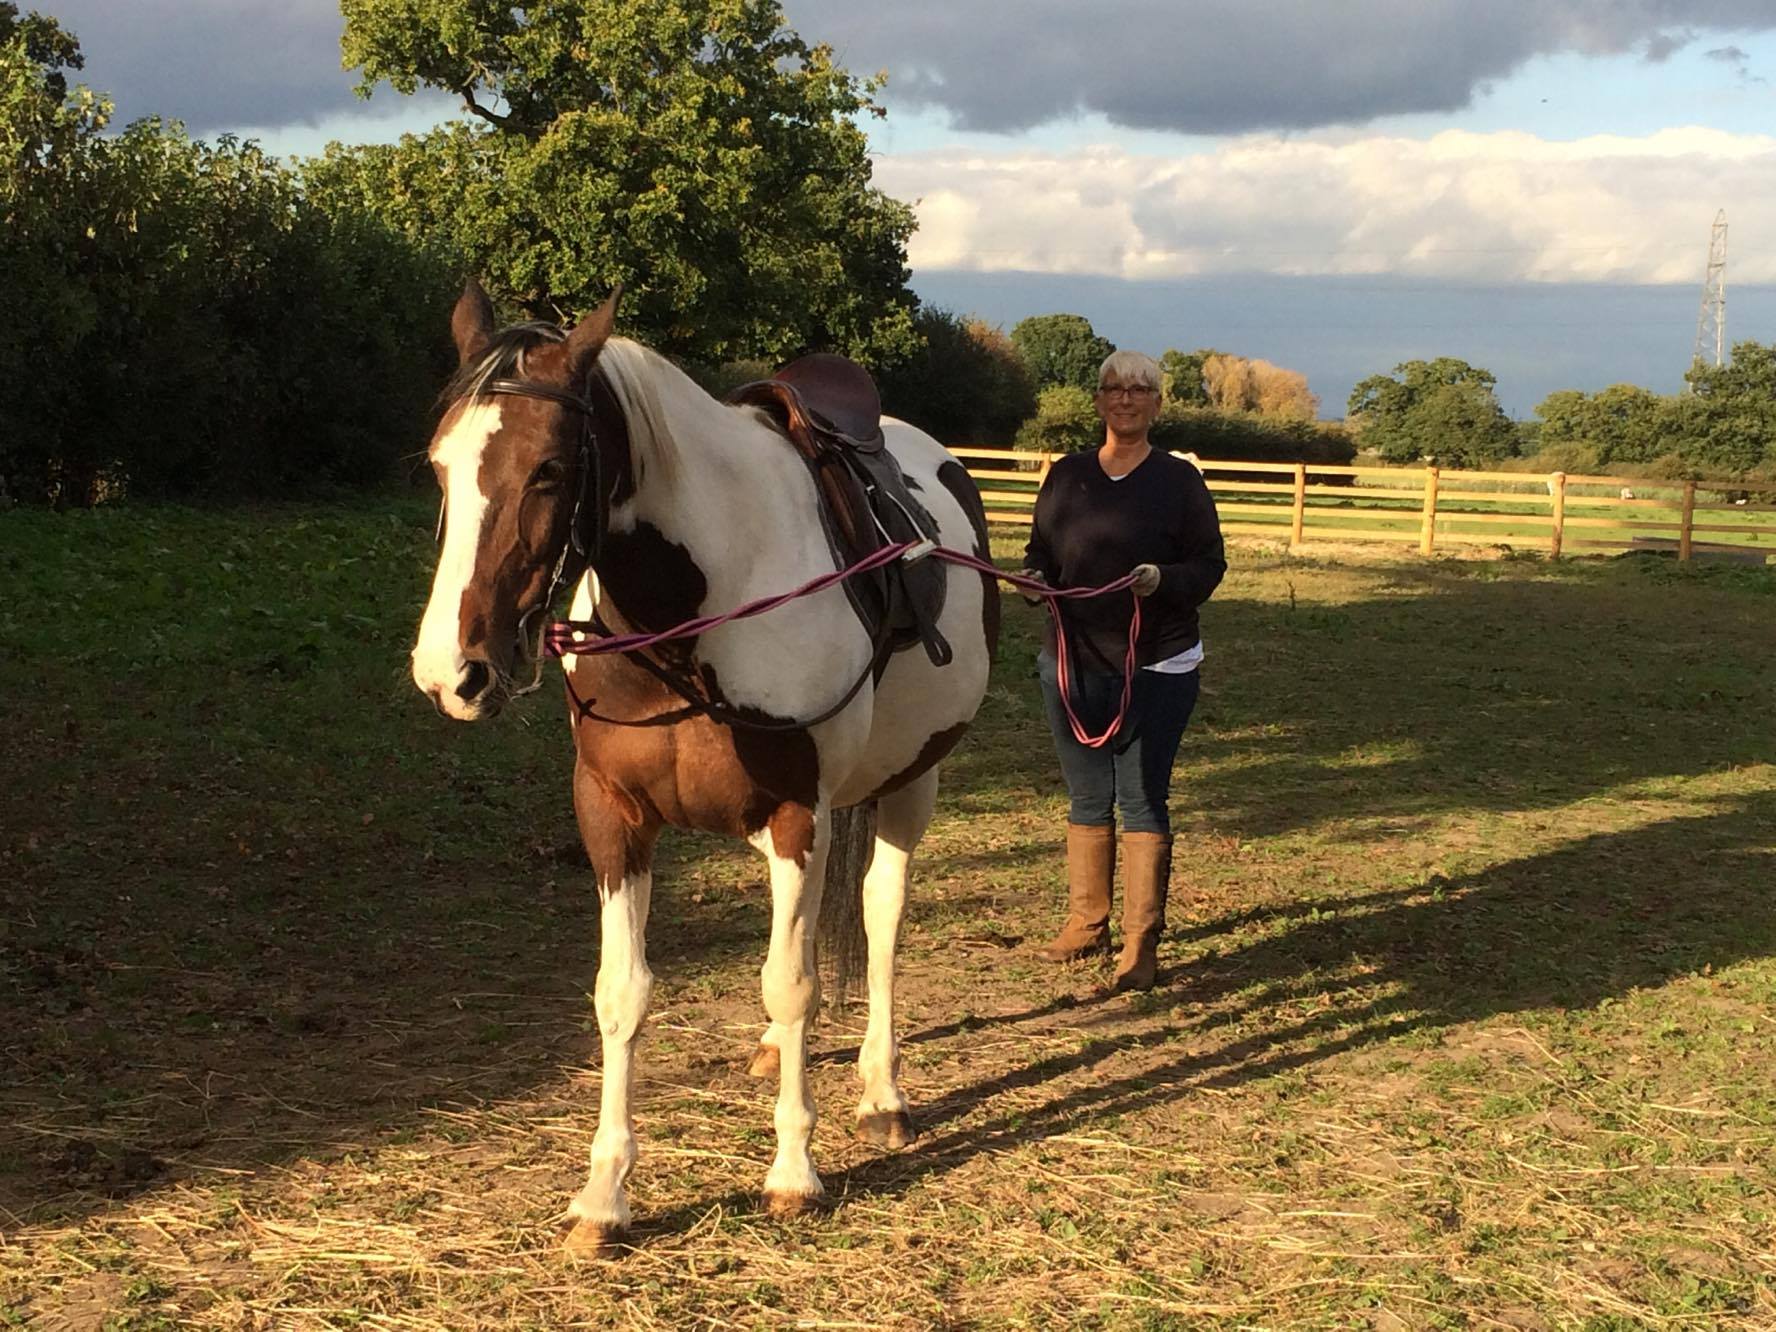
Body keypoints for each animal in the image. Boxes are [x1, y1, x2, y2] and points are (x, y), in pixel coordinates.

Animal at [409, 280, 999, 1253]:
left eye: (548, 470)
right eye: (439, 467)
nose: (452, 673)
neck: (697, 611)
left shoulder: (800, 812)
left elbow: (794, 982)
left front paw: (794, 1173)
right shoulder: (613, 814)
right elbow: (623, 993)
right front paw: (603, 1195)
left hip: (910, 783)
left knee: (880, 914)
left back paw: (882, 1091)